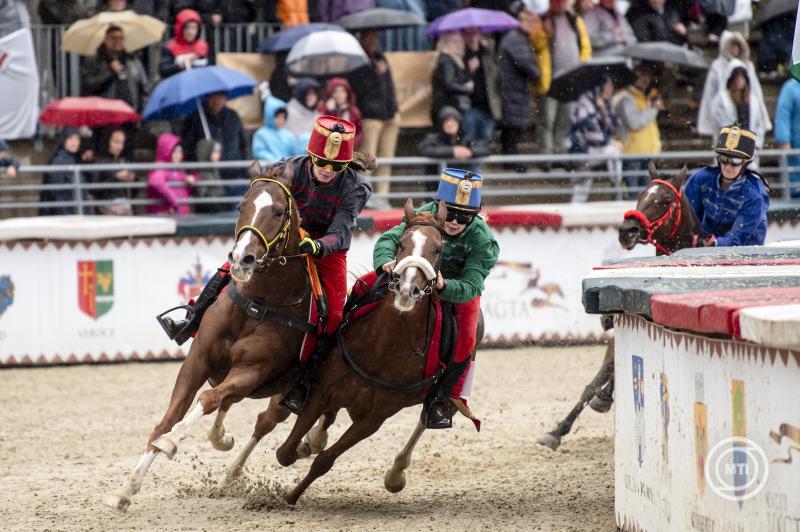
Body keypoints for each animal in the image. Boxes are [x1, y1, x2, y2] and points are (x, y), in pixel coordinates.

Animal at [536, 161, 700, 448]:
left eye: (666, 200)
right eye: (640, 194)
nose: (627, 231)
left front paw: (600, 399)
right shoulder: (616, 336)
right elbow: (593, 383)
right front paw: (557, 430)